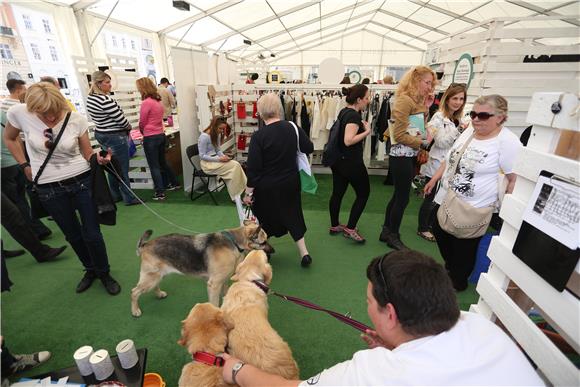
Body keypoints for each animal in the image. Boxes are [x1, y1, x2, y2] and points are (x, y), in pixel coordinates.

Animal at [130, 221, 268, 318]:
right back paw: (135, 310)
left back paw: (159, 294)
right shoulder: (214, 285)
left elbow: (225, 294)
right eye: (264, 242)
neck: (234, 241)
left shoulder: (223, 281)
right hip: (151, 278)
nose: (271, 251)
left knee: (153, 286)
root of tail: (144, 245)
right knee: (134, 292)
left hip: (157, 276)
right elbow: (214, 304)